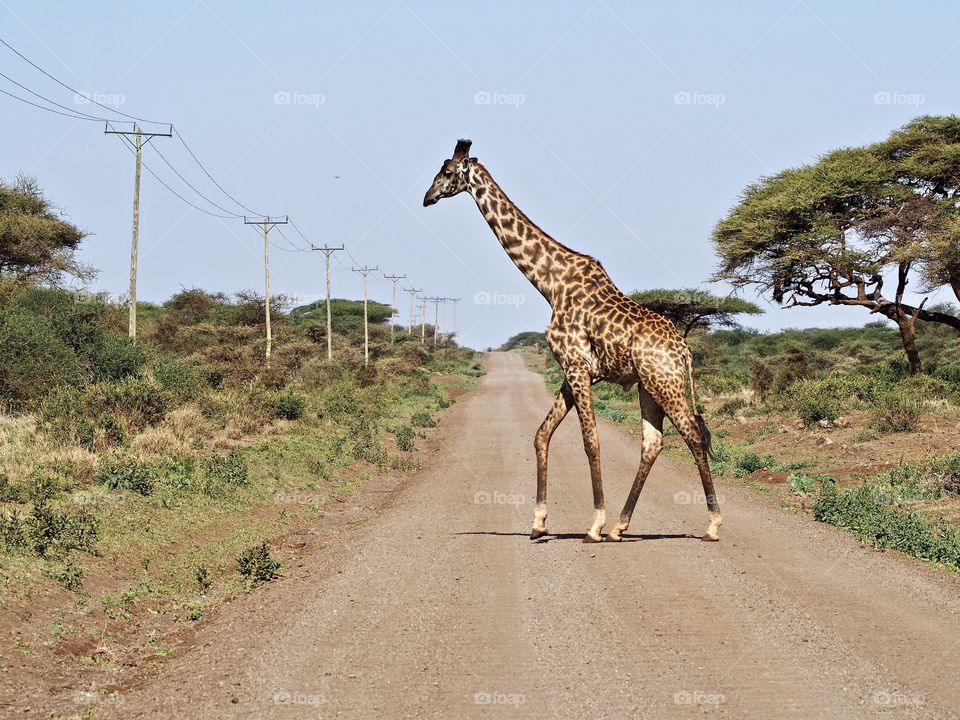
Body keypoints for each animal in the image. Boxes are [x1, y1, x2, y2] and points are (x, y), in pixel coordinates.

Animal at [423, 139, 722, 543]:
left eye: (447, 172)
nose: (427, 197)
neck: (550, 283)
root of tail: (686, 352)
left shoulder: (577, 367)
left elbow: (590, 441)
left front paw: (593, 524)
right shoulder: (572, 370)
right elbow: (541, 434)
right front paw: (538, 523)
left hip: (666, 383)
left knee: (692, 435)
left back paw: (711, 524)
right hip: (648, 386)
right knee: (653, 442)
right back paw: (620, 527)